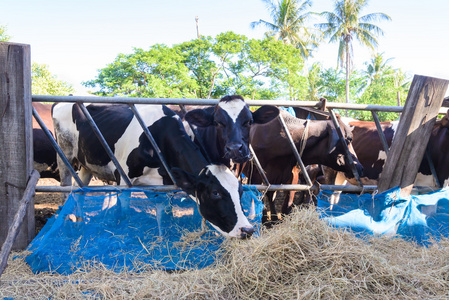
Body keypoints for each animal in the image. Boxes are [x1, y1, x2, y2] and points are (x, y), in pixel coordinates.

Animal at [51, 103, 254, 239]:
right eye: (215, 193)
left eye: (240, 191)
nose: (248, 229)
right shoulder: (123, 179)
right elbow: (124, 214)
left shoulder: (165, 184)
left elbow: (164, 216)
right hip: (64, 153)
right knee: (65, 187)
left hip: (86, 164)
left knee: (80, 191)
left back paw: (79, 223)